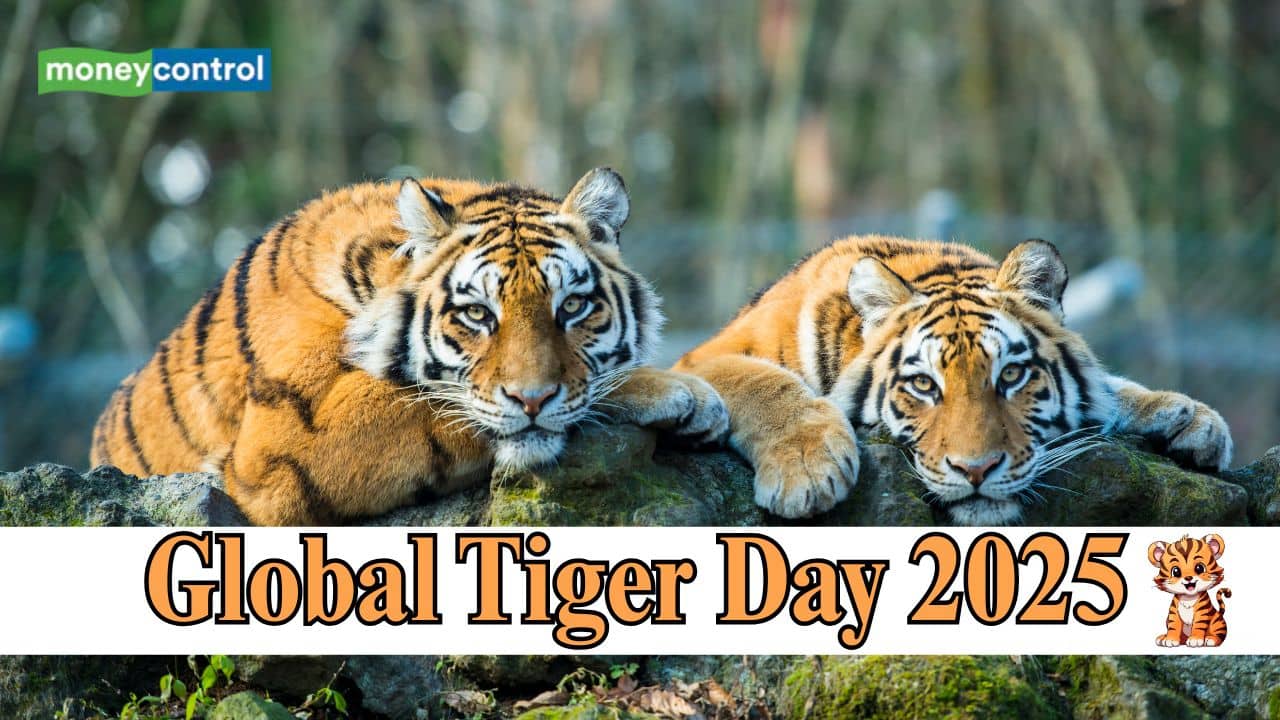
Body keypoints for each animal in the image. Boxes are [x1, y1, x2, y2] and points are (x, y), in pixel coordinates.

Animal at [91, 167, 728, 525]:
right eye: (477, 314)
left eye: (571, 307)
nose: (532, 400)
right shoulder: (279, 445)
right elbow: (436, 402)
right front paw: (681, 392)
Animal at [674, 235, 1232, 524]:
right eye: (924, 386)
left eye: (1011, 375)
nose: (976, 470)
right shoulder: (703, 359)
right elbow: (765, 383)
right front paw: (806, 471)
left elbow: (1111, 387)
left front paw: (1191, 417)